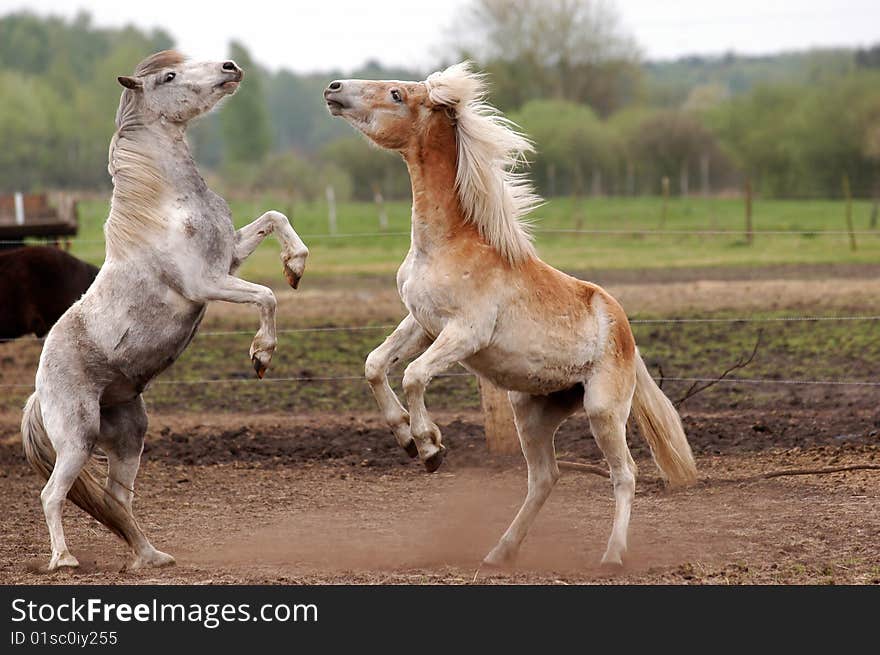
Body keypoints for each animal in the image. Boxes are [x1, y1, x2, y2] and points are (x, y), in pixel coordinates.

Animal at [326, 64, 696, 572]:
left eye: (397, 94)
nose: (333, 88)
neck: (444, 244)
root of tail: (625, 332)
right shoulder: (422, 323)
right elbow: (376, 365)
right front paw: (405, 439)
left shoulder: (465, 333)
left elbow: (415, 376)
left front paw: (430, 446)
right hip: (532, 413)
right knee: (544, 478)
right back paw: (499, 552)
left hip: (603, 410)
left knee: (625, 474)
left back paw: (612, 555)